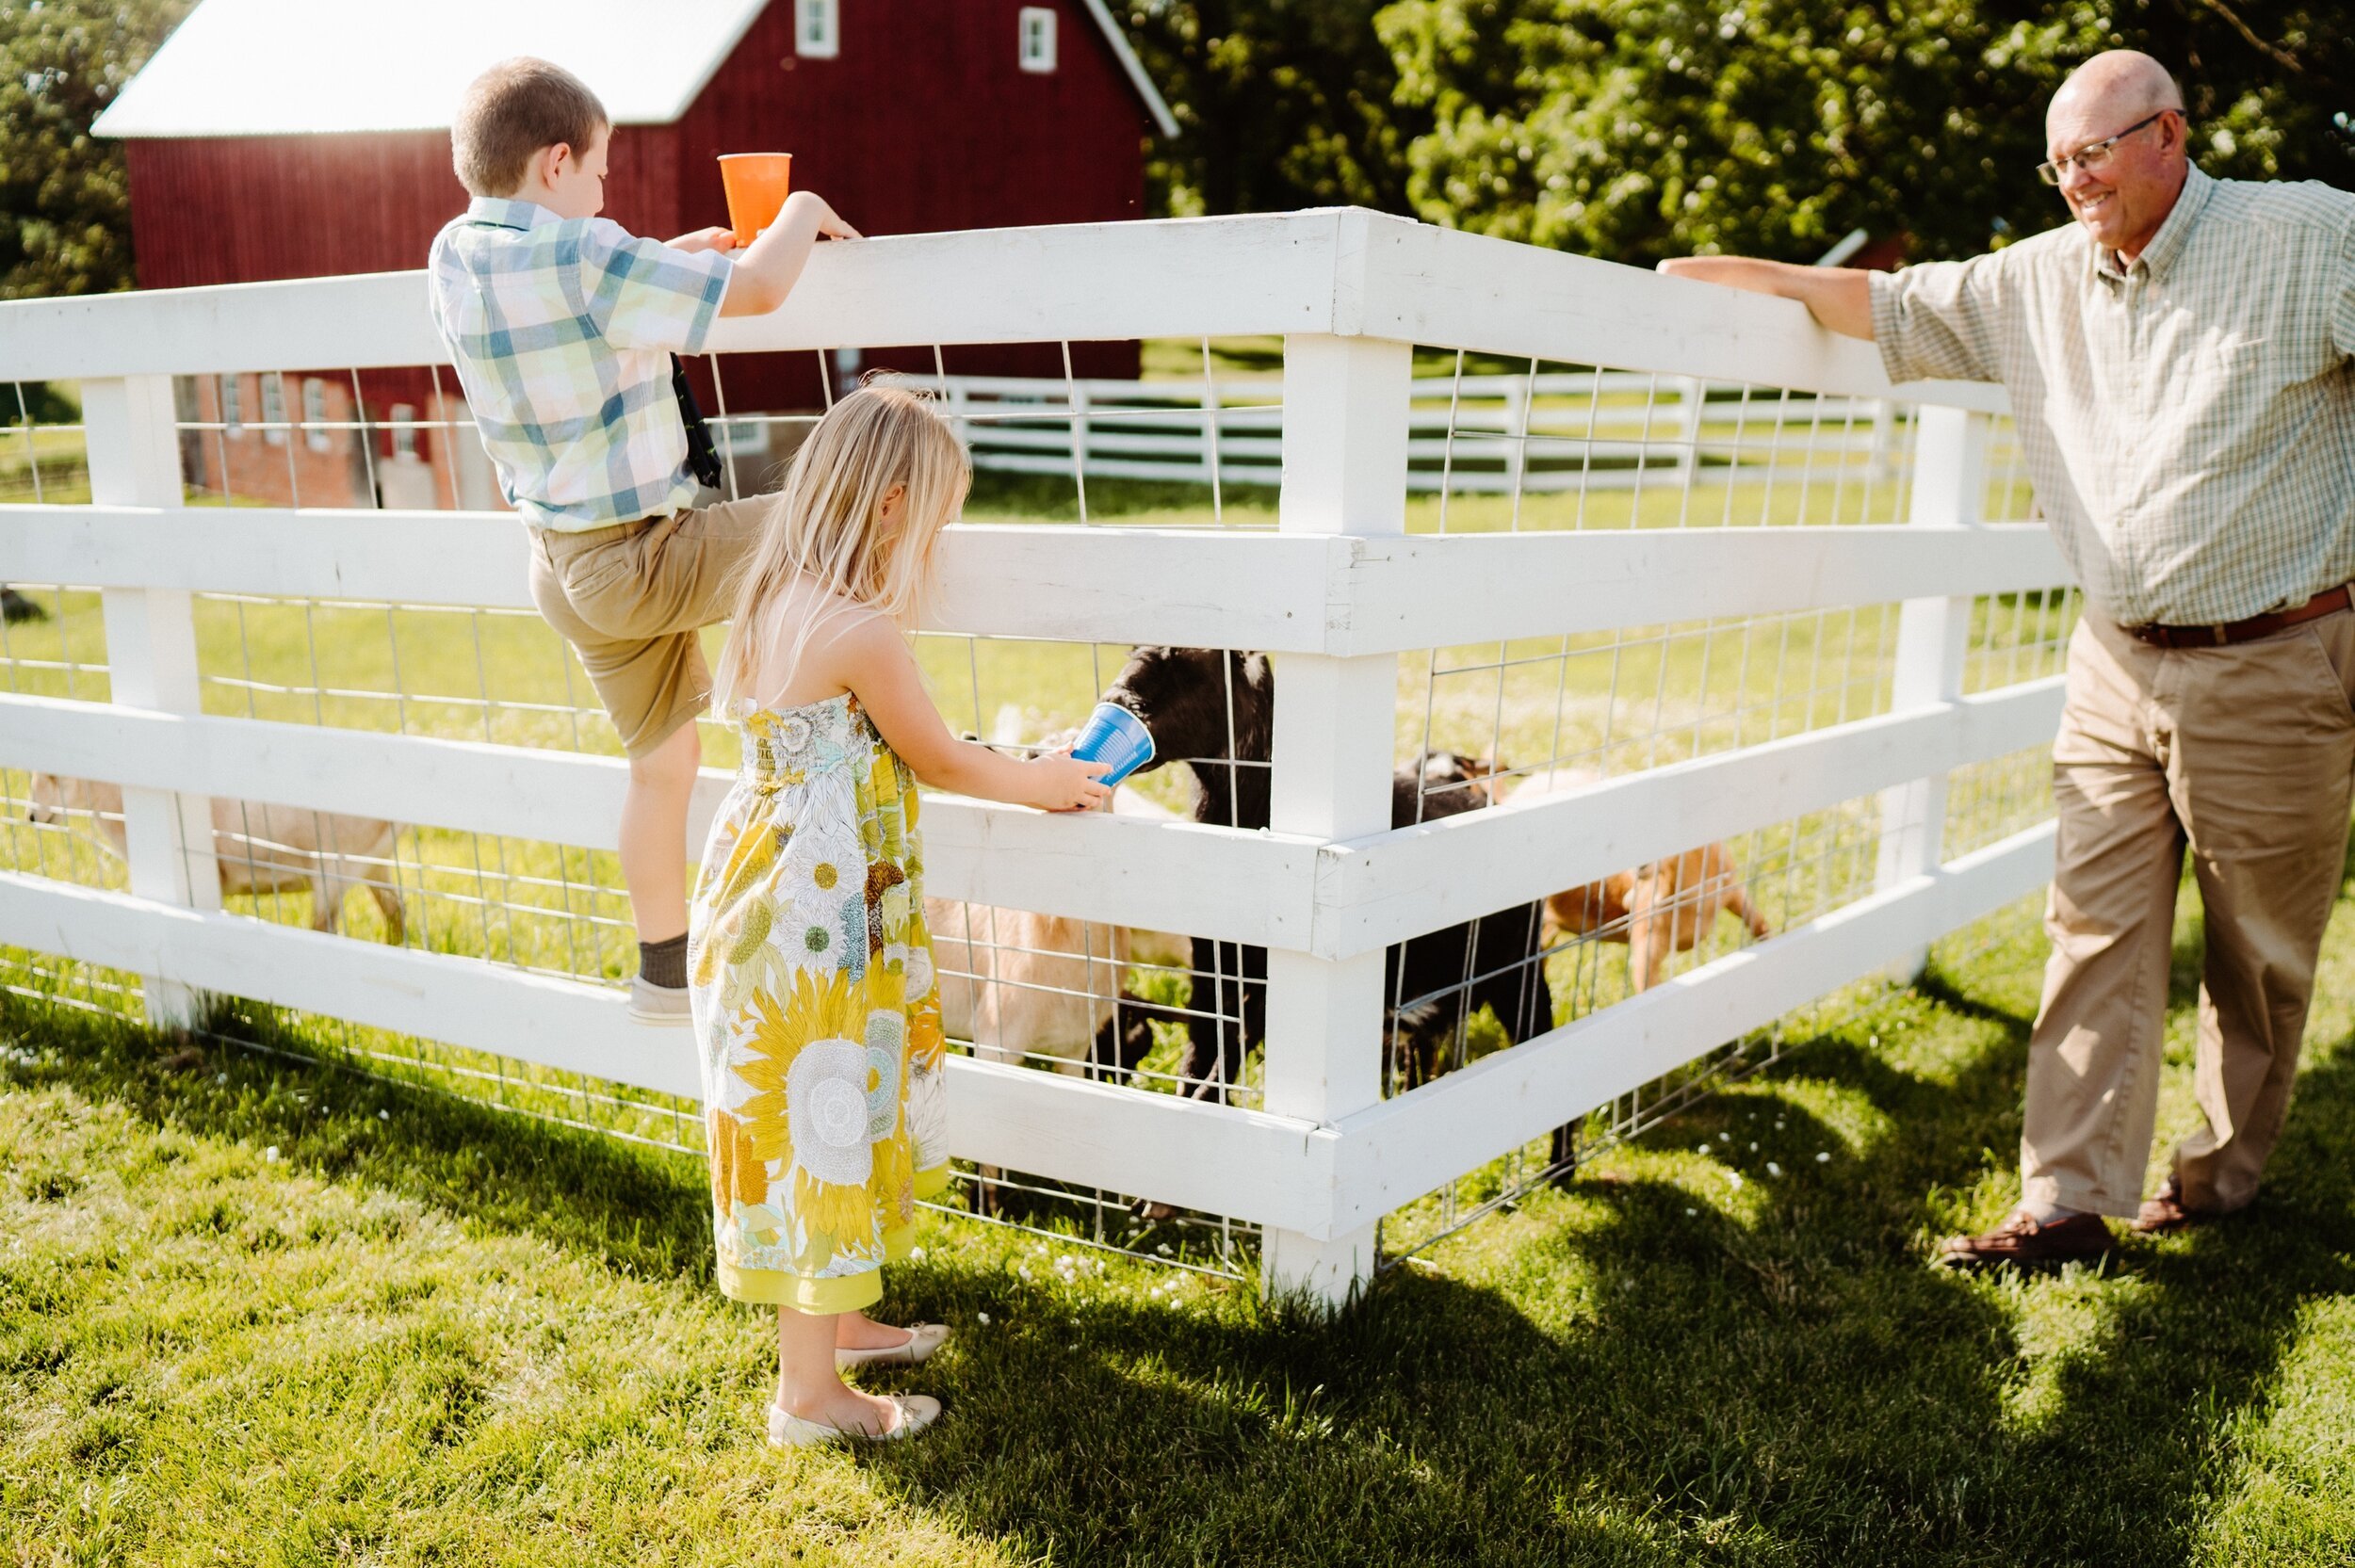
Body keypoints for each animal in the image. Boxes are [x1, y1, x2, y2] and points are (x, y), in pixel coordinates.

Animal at [29, 772, 407, 942]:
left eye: (54, 777)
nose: (32, 817)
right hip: (374, 863)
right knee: (395, 910)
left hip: (334, 867)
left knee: (322, 929)